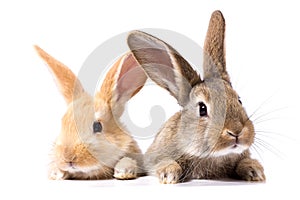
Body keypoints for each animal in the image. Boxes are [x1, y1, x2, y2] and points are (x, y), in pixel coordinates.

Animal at [126, 10, 264, 184]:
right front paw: (169, 174)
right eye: (202, 108)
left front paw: (254, 170)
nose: (237, 132)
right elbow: (164, 163)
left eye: (239, 100)